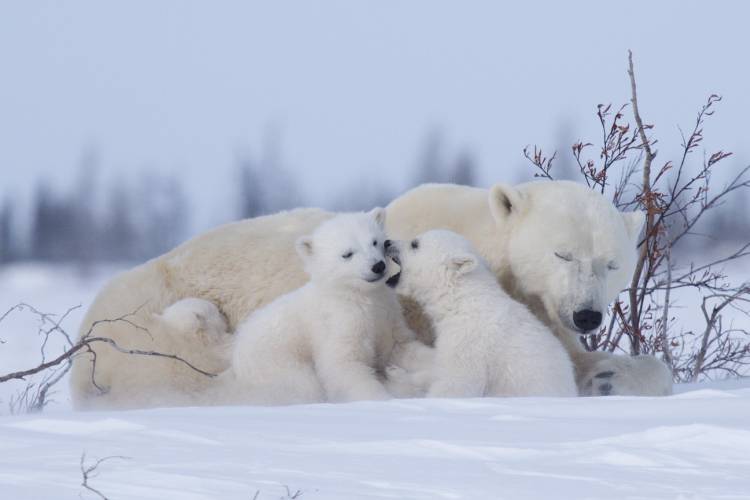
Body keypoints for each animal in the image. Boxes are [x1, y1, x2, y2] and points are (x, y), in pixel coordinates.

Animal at [220, 209, 426, 404]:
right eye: (347, 254)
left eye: (375, 242)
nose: (378, 266)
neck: (357, 295)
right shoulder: (338, 322)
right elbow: (343, 364)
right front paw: (381, 399)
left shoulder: (387, 314)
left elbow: (400, 346)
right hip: (277, 363)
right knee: (302, 385)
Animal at [390, 230, 580, 398]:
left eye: (414, 243)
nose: (388, 243)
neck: (462, 300)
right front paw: (397, 372)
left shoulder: (470, 342)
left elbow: (457, 383)